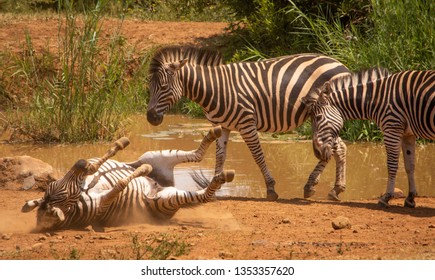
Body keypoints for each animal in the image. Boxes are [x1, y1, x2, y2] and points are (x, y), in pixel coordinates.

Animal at [21, 126, 235, 231]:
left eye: (56, 185)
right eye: (64, 195)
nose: (81, 162)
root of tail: (161, 185)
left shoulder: (83, 176)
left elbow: (97, 165)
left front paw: (119, 145)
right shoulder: (101, 202)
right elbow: (121, 183)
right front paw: (141, 170)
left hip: (154, 154)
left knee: (196, 154)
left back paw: (213, 132)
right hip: (164, 199)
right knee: (204, 195)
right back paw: (224, 175)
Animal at [146, 44, 350, 200]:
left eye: (163, 87)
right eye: (149, 86)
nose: (150, 118)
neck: (215, 89)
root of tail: (340, 64)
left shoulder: (246, 124)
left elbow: (258, 155)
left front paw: (271, 188)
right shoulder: (222, 126)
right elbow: (220, 156)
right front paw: (214, 186)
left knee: (332, 147)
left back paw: (312, 186)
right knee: (338, 147)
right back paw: (333, 189)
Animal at [304, 68, 435, 208]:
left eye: (318, 118)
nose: (317, 153)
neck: (378, 98)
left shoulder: (391, 128)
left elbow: (392, 165)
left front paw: (386, 197)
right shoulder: (407, 133)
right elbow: (410, 165)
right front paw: (410, 198)